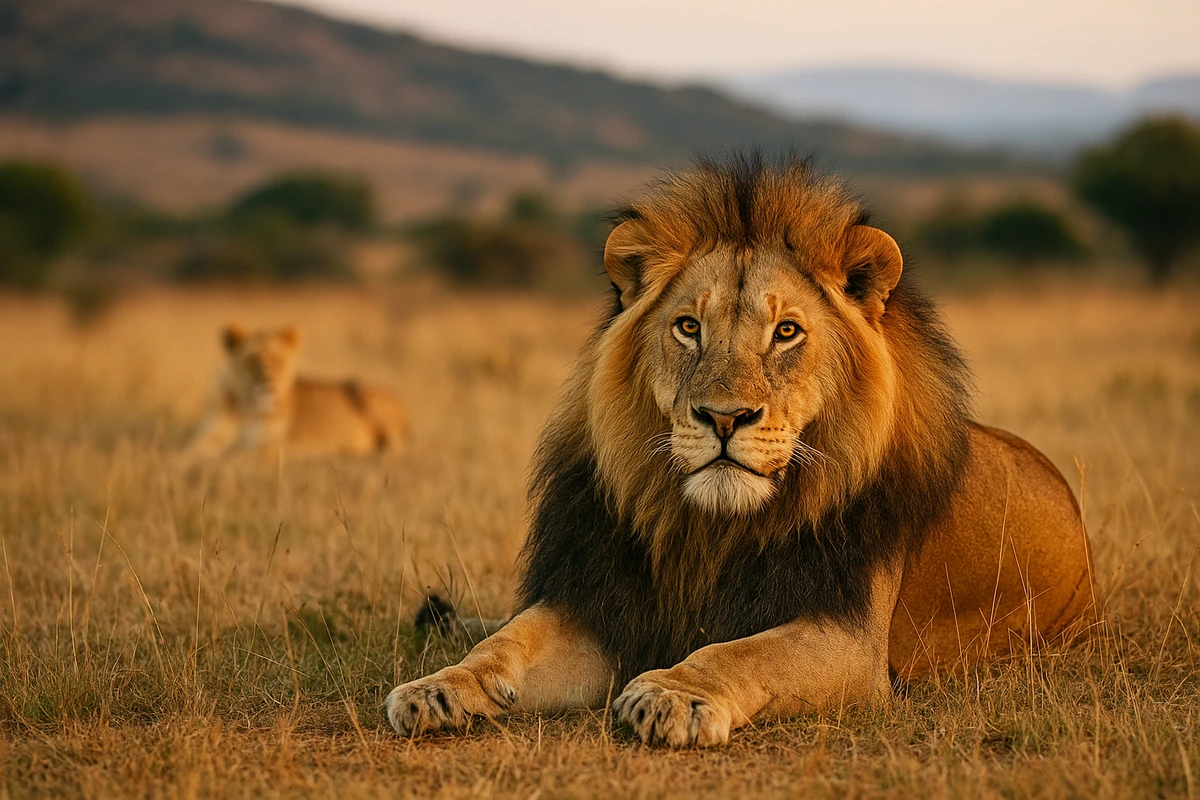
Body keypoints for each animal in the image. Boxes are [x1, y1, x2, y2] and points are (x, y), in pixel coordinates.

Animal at [183, 324, 408, 461]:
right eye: (252, 359)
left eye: (278, 360)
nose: (268, 384)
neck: (247, 407)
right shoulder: (212, 434)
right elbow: (187, 450)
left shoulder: (269, 444)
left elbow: (235, 455)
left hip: (364, 394)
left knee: (398, 448)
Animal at [385, 153, 1097, 747]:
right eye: (688, 328)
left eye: (786, 332)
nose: (724, 418)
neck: (711, 531)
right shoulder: (602, 604)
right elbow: (507, 643)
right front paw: (438, 688)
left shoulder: (849, 637)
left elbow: (737, 652)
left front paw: (674, 695)